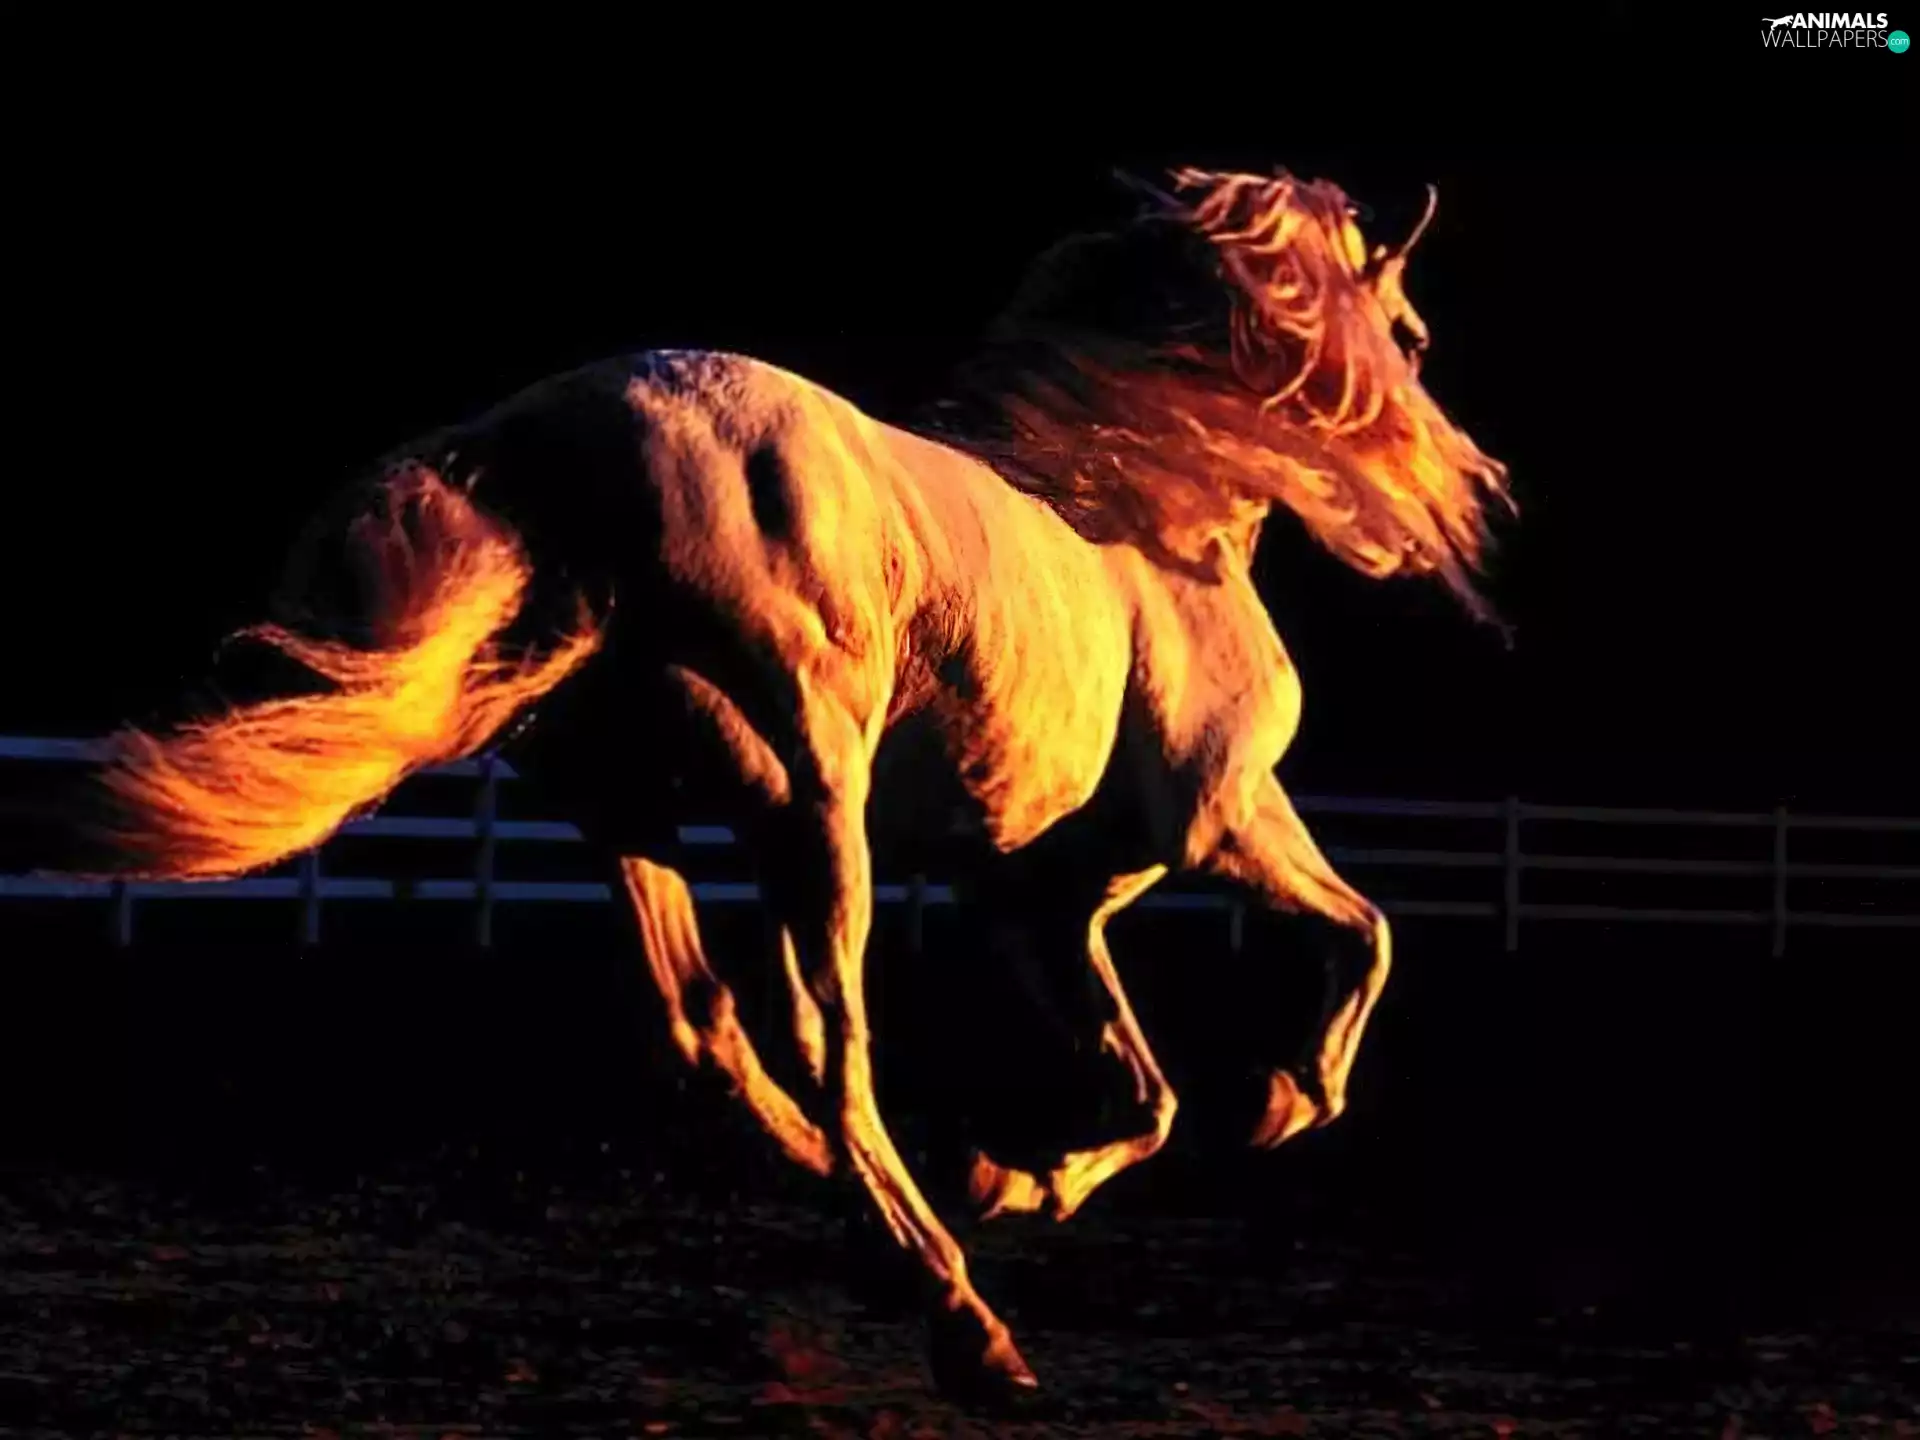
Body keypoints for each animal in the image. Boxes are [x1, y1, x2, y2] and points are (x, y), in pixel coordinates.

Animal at [45, 165, 1511, 1398]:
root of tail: (565, 434)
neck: (1157, 511)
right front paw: (1276, 1104)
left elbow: (1143, 1088)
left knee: (704, 1024)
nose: (1467, 475)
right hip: (811, 798)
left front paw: (1016, 1177)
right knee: (825, 1038)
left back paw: (883, 1227)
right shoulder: (1215, 828)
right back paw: (957, 1314)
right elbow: (1364, 939)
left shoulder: (1046, 903)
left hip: (627, 804)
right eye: (1415, 335)